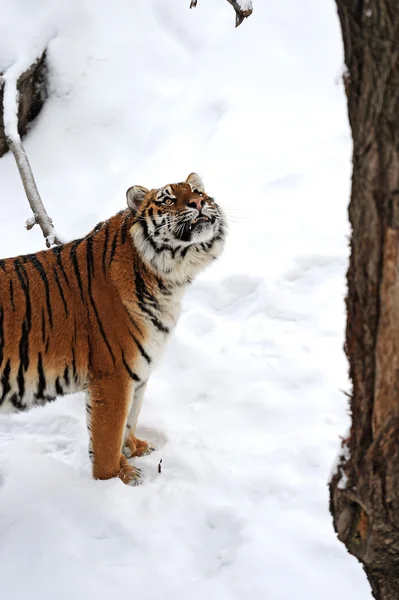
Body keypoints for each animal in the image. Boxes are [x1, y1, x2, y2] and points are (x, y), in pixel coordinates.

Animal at [0, 171, 227, 486]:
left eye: (198, 192)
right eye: (168, 199)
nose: (198, 203)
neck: (166, 280)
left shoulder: (139, 372)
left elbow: (130, 420)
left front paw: (135, 450)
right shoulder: (113, 375)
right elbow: (108, 436)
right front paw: (116, 481)